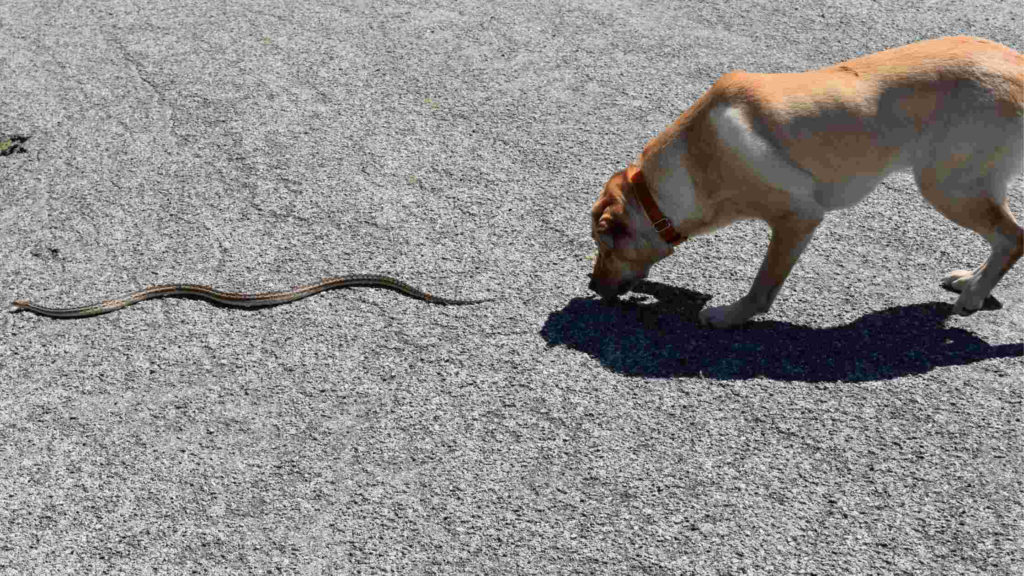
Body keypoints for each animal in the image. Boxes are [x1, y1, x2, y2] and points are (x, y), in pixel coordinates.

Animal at [589, 36, 1019, 327]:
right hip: (968, 186)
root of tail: (1017, 66)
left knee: (1014, 238)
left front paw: (732, 316)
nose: (592, 286)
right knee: (1005, 238)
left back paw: (975, 295)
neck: (695, 156)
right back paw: (973, 282)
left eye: (605, 247)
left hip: (947, 186)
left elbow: (763, 285)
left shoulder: (797, 218)